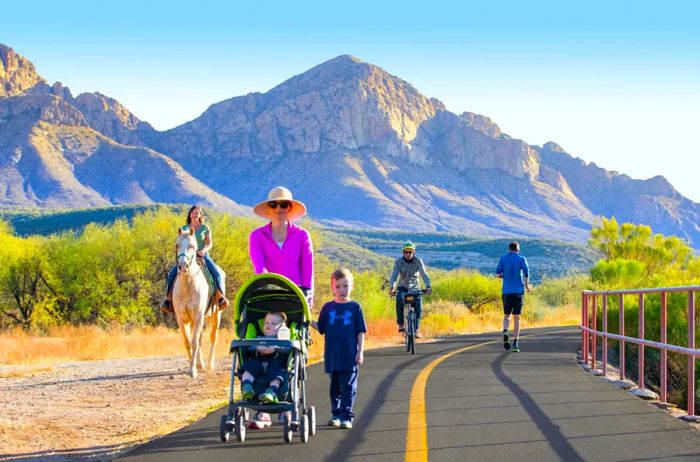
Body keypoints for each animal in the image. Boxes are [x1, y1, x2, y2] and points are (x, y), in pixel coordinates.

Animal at [172, 228, 221, 378]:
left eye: (192, 246)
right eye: (177, 245)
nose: (183, 266)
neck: (188, 284)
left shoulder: (199, 316)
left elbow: (194, 342)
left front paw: (192, 370)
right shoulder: (182, 318)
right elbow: (188, 342)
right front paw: (193, 366)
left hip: (216, 315)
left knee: (213, 337)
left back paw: (210, 364)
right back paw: (201, 364)